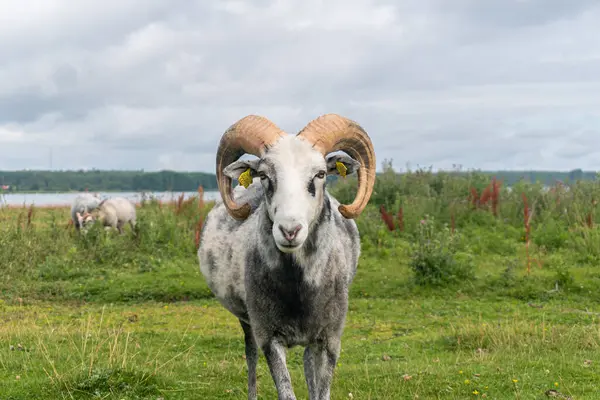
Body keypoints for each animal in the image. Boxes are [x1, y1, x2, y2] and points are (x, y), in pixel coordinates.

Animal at [197, 113, 376, 400]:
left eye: (321, 174)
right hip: (247, 322)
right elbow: (284, 389)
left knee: (307, 361)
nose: (289, 230)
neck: (299, 289)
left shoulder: (330, 339)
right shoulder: (269, 337)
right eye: (264, 175)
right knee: (250, 357)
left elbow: (322, 389)